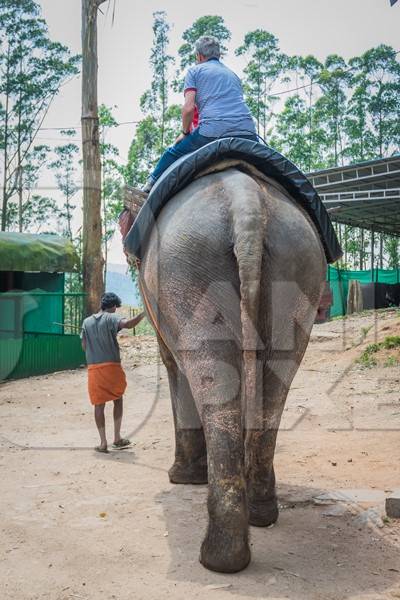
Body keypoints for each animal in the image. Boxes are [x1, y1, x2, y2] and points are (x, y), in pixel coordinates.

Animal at [121, 162, 324, 576]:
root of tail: (245, 200)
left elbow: (173, 365)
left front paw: (181, 479)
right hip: (297, 268)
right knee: (275, 378)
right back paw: (259, 514)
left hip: (188, 270)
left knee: (209, 374)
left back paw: (219, 557)